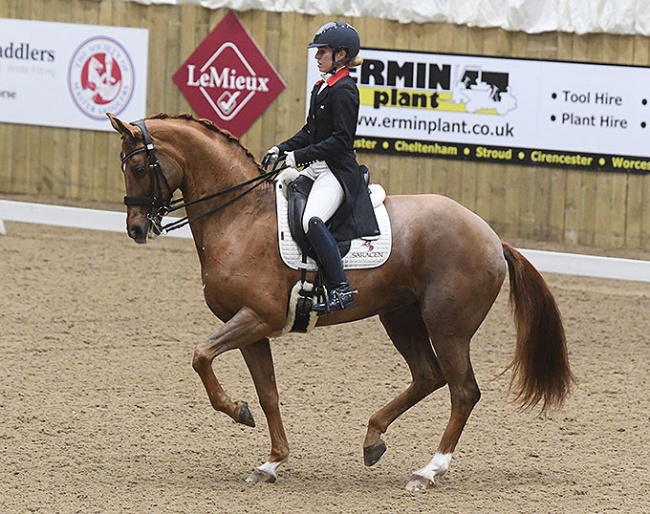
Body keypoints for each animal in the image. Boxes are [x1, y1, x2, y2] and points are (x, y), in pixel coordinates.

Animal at [107, 113, 572, 492]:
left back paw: (428, 471)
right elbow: (268, 393)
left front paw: (238, 412)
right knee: (428, 376)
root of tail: (491, 236)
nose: (136, 229)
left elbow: (201, 356)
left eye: (138, 167)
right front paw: (271, 463)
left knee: (462, 392)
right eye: (124, 165)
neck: (241, 216)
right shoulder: (253, 328)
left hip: (448, 327)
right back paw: (373, 439)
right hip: (399, 316)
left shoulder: (256, 318)